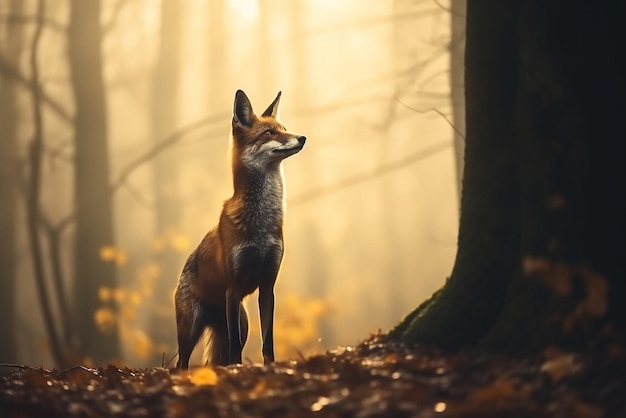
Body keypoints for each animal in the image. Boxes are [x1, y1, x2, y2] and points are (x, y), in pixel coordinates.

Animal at [173, 90, 304, 368]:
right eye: (268, 133)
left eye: (283, 128)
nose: (302, 137)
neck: (261, 226)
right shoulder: (232, 289)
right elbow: (235, 351)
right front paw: (237, 369)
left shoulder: (267, 287)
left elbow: (268, 342)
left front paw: (269, 367)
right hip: (191, 328)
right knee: (182, 362)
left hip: (242, 323)